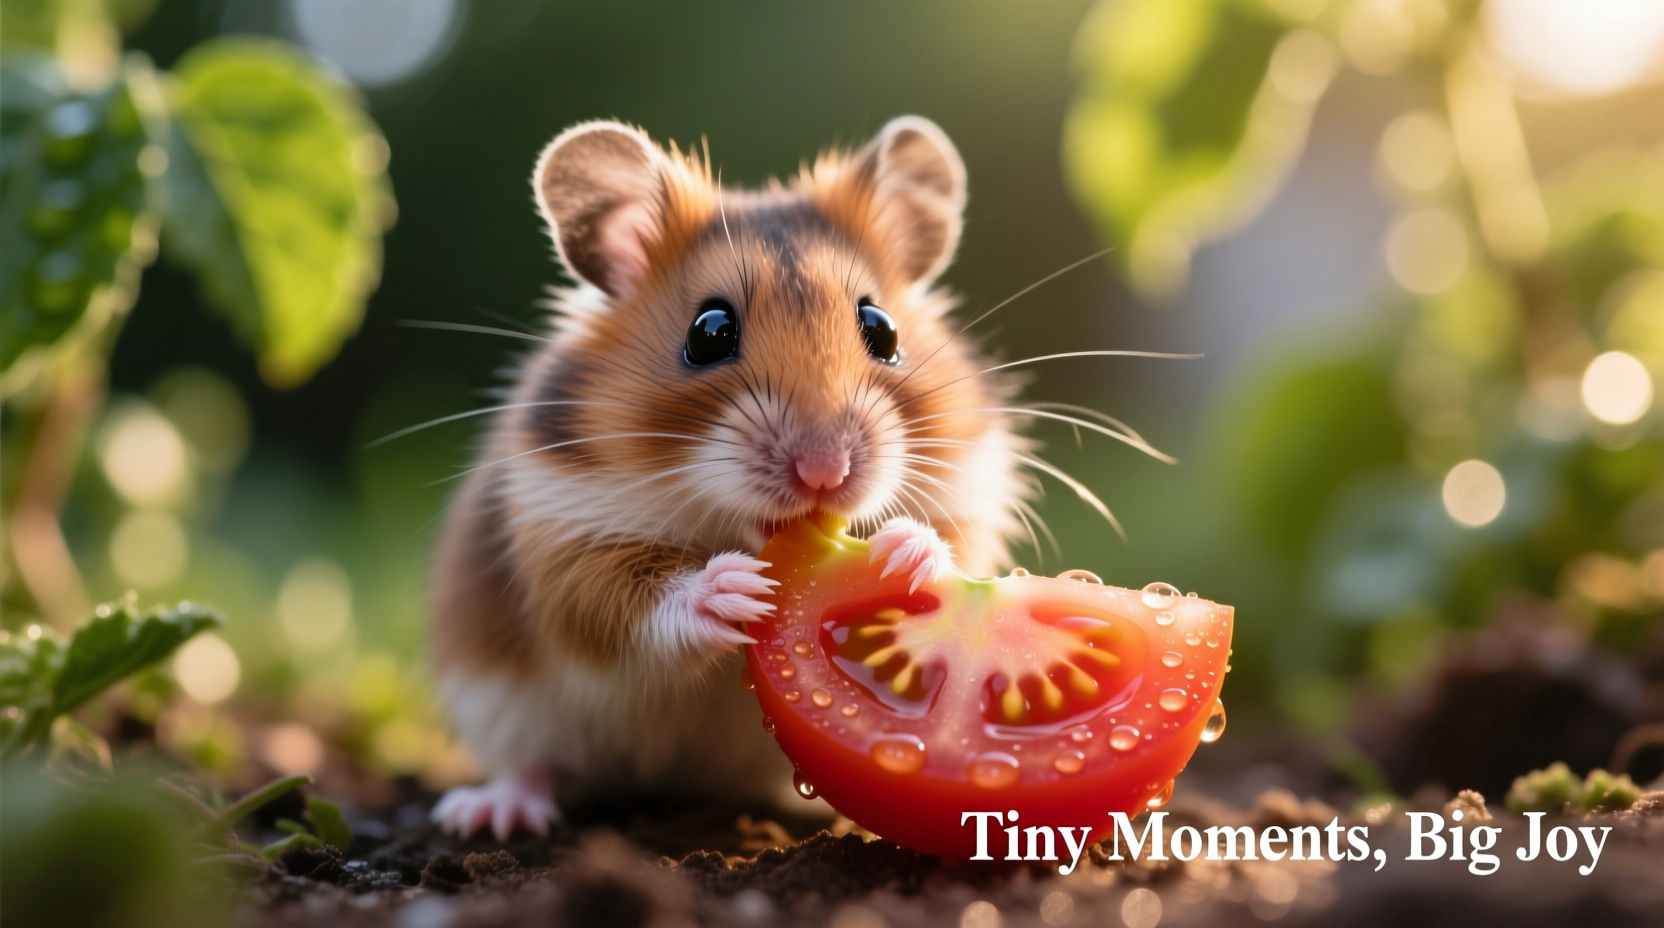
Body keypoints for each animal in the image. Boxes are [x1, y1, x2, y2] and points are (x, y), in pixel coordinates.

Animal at [429, 116, 1028, 839]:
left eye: (881, 330)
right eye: (708, 332)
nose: (824, 472)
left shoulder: (970, 491)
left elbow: (952, 544)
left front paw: (904, 555)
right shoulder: (561, 535)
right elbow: (624, 603)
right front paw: (737, 591)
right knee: (533, 764)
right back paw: (489, 815)